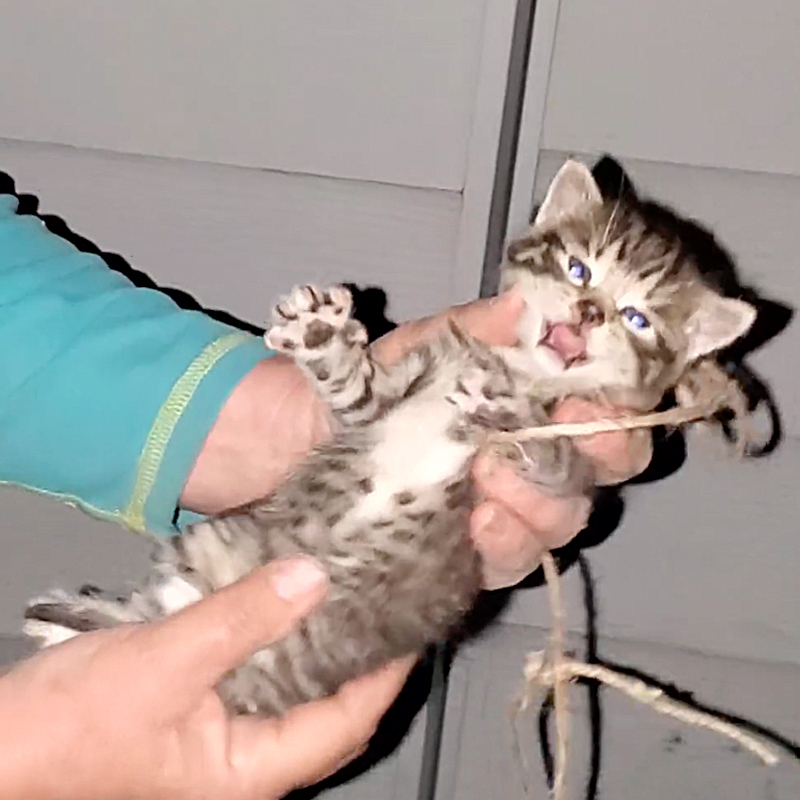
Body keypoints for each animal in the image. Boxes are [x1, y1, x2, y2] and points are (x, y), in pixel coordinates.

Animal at [20, 159, 756, 716]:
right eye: (580, 270)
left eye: (636, 318)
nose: (589, 313)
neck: (512, 365)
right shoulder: (387, 395)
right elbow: (355, 392)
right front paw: (322, 335)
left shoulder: (574, 453)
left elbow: (555, 463)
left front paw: (508, 413)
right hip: (210, 544)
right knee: (155, 606)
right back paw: (63, 618)